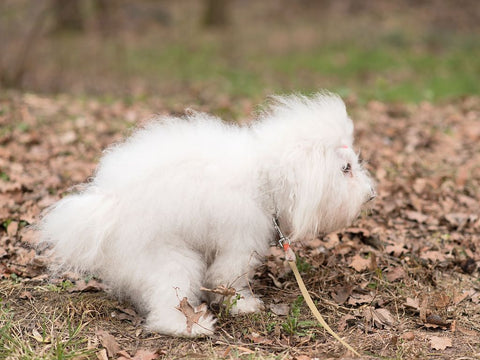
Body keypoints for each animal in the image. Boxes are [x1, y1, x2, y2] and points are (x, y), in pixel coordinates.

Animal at [39, 93, 374, 338]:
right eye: (345, 169)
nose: (371, 194)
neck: (265, 178)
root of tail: (109, 208)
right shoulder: (241, 241)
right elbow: (227, 278)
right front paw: (244, 305)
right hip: (169, 257)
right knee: (167, 303)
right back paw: (191, 327)